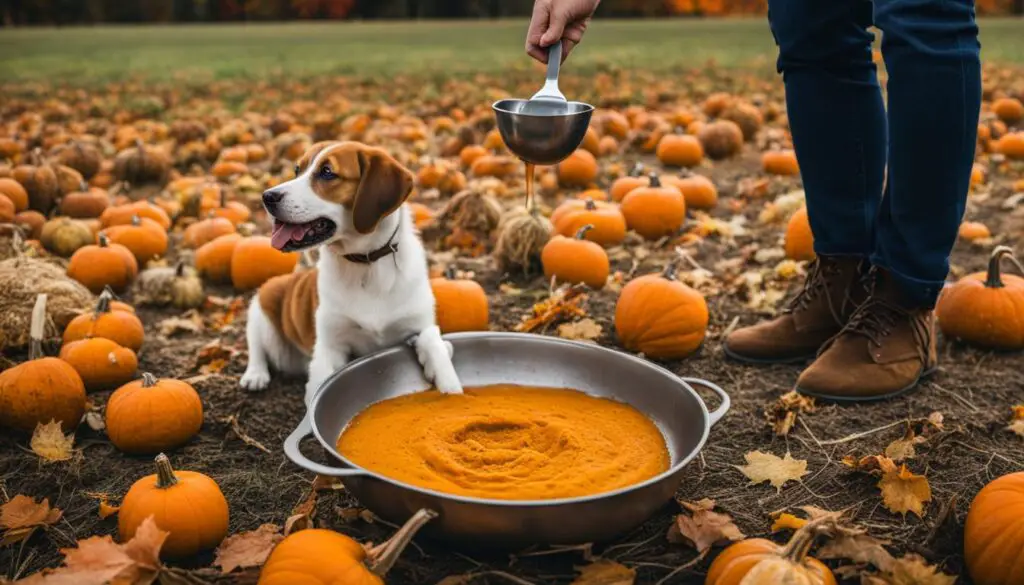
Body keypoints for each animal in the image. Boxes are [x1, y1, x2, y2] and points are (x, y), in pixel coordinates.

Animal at [239, 140, 464, 405]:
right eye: (297, 170)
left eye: (327, 172)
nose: (267, 196)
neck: (366, 264)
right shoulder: (330, 347)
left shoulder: (421, 324)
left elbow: (433, 345)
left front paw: (450, 386)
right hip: (262, 311)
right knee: (257, 346)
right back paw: (255, 374)